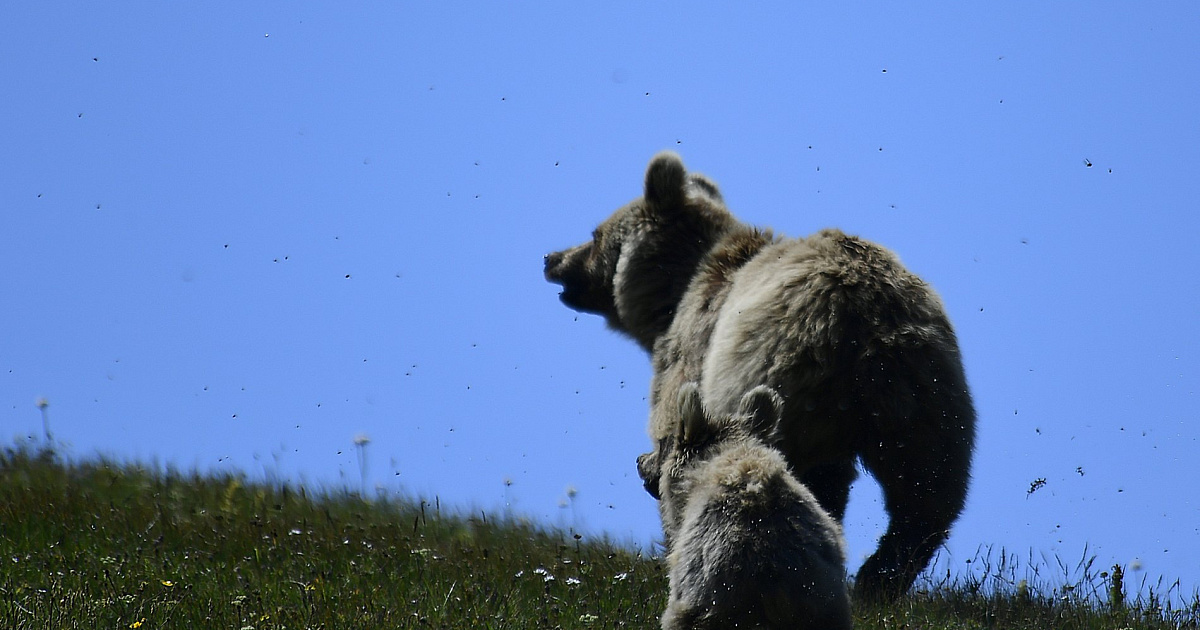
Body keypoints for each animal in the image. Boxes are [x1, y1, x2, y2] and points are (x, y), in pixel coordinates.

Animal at [544, 151, 976, 599]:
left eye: (594, 234)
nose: (552, 259)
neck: (676, 292)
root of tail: (865, 321)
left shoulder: (695, 349)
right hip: (928, 392)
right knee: (927, 491)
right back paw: (878, 577)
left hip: (780, 373)